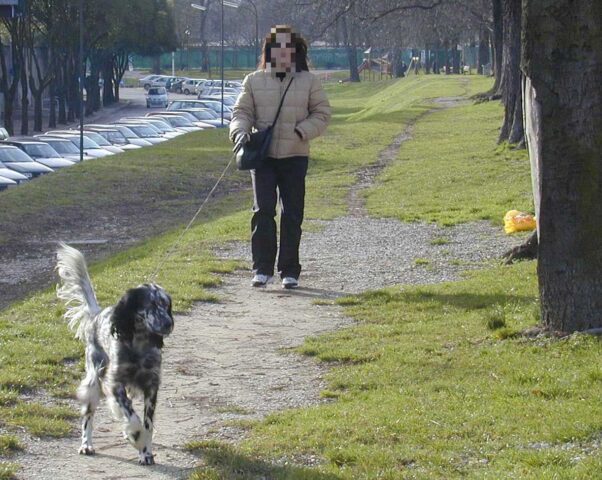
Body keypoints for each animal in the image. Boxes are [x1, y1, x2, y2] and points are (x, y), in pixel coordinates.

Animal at [56, 244, 172, 464]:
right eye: (152, 305)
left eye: (167, 305)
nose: (169, 323)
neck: (138, 345)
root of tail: (95, 316)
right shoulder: (114, 383)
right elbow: (132, 417)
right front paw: (134, 436)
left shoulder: (151, 386)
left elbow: (147, 424)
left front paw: (146, 452)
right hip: (94, 380)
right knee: (88, 417)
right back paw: (86, 445)